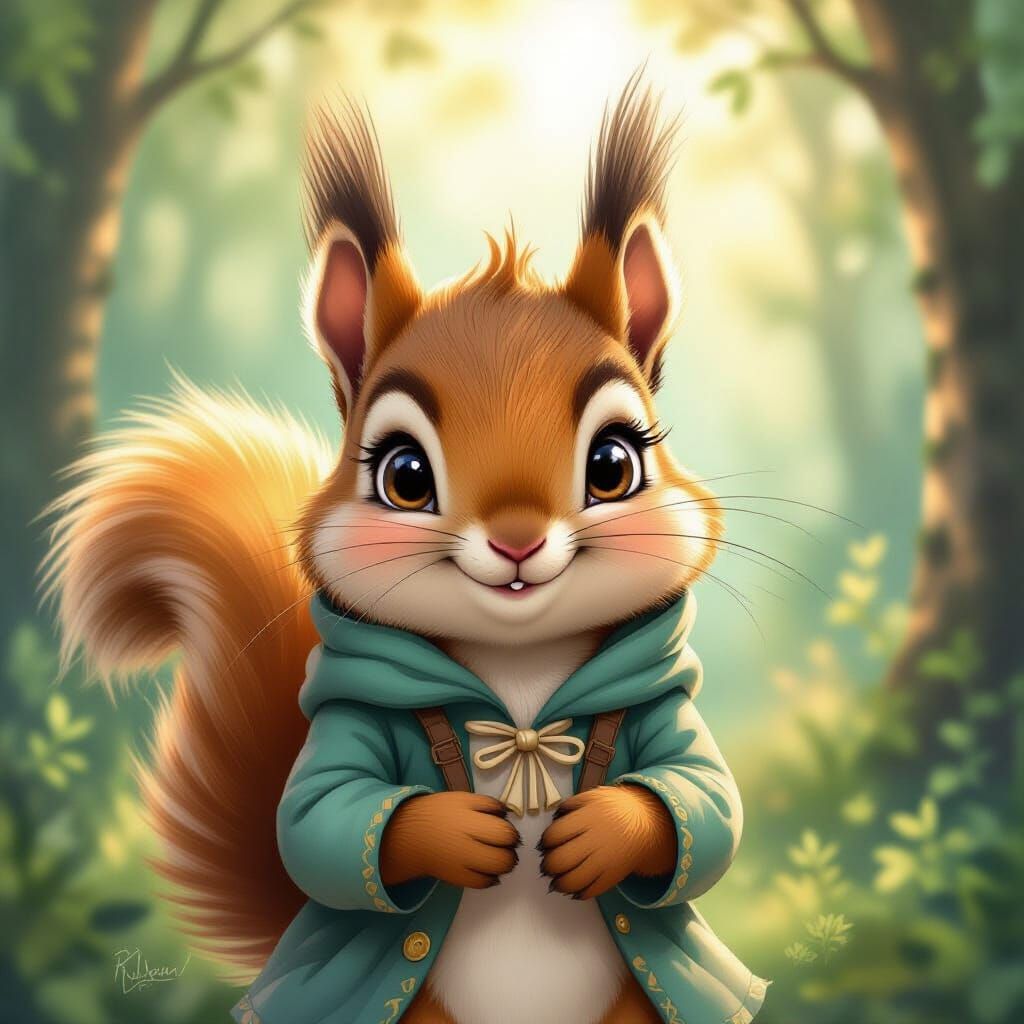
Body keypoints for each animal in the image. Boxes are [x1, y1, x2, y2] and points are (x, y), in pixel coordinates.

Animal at [45, 73, 766, 1024]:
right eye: (404, 475)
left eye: (614, 464)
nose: (517, 540)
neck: (521, 679)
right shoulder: (350, 731)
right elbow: (320, 817)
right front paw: (448, 832)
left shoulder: (668, 713)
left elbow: (706, 800)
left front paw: (604, 832)